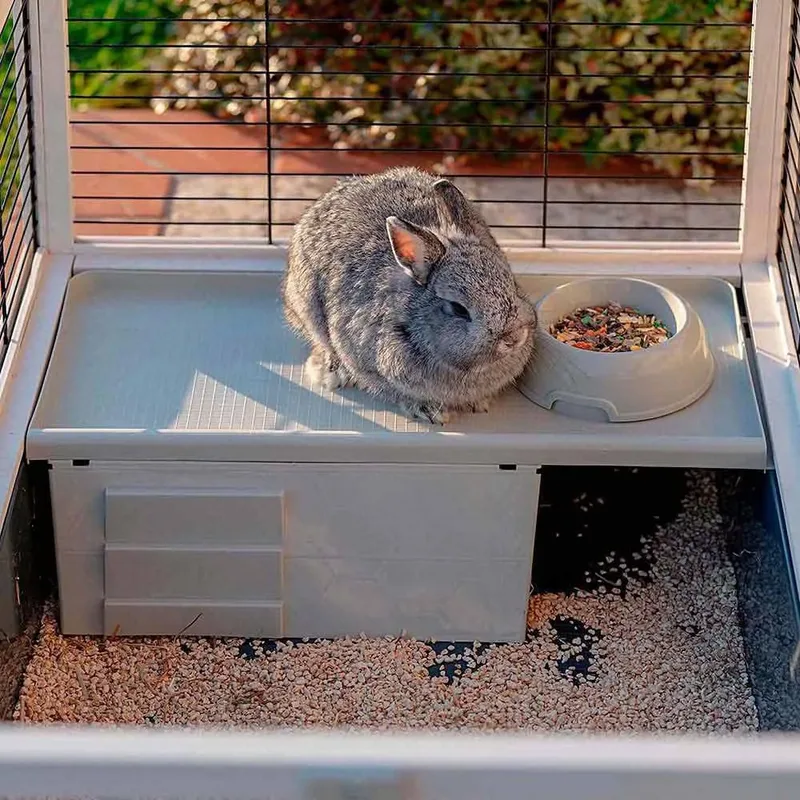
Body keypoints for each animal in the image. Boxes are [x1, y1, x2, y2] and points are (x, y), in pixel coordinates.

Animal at [281, 166, 537, 424]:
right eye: (458, 309)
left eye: (511, 283)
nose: (514, 338)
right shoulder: (369, 366)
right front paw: (431, 412)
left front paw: (479, 403)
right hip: (306, 308)